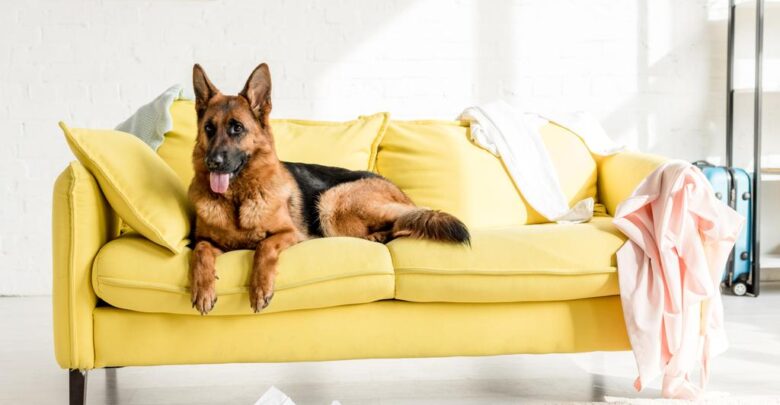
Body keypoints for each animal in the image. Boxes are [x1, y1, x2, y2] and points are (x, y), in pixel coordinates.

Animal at [189, 64, 470, 316]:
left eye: (237, 128)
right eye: (209, 128)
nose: (213, 162)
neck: (237, 199)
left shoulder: (289, 233)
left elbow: (264, 248)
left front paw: (260, 288)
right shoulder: (205, 240)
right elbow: (201, 251)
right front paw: (203, 289)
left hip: (332, 201)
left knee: (406, 221)